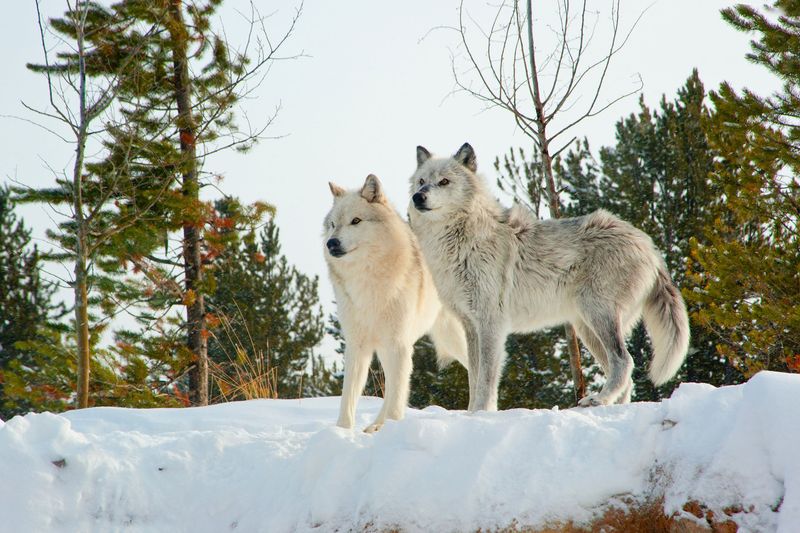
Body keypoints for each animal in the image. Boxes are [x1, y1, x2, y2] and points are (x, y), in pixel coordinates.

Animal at [324, 172, 468, 430]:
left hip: (455, 339)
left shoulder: (398, 343)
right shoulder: (357, 345)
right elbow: (348, 397)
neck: (368, 282)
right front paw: (341, 432)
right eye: (332, 224)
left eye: (356, 221)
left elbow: (398, 393)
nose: (331, 243)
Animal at [410, 143, 692, 410]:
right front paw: (470, 413)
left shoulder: (491, 323)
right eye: (422, 180)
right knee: (625, 372)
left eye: (444, 182)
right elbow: (474, 377)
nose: (418, 196)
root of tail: (648, 245)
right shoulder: (470, 325)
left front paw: (481, 412)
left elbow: (486, 379)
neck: (460, 241)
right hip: (586, 328)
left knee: (625, 361)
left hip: (597, 314)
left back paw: (598, 399)